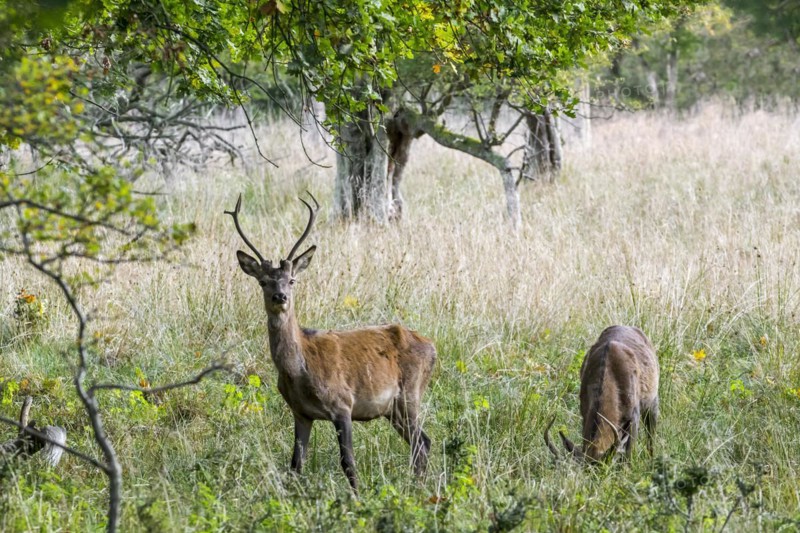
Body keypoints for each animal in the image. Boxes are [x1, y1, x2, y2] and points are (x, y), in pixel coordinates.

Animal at [226, 193, 436, 494]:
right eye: (263, 281)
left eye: (292, 280)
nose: (280, 297)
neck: (299, 371)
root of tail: (432, 346)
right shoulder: (301, 413)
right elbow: (295, 465)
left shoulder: (342, 404)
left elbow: (347, 461)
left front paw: (357, 498)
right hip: (393, 409)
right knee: (423, 443)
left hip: (410, 393)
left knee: (421, 442)